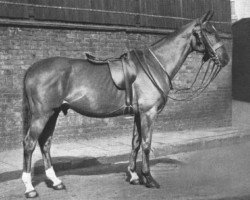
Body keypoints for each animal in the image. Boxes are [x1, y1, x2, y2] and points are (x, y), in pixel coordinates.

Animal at [21, 10, 229, 197]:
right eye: (208, 31)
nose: (225, 58)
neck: (155, 65)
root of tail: (32, 69)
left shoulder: (138, 114)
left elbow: (135, 143)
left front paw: (134, 176)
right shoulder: (148, 113)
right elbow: (146, 144)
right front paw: (148, 178)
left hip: (53, 113)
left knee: (45, 143)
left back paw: (55, 181)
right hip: (42, 114)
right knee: (30, 143)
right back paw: (30, 188)